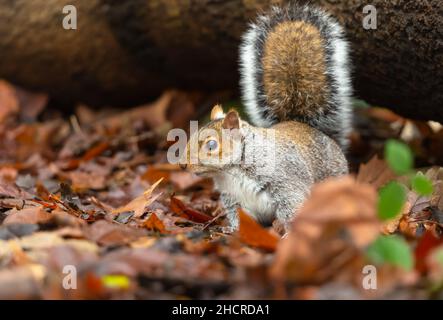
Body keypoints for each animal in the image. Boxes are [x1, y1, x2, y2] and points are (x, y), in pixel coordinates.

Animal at [180, 2, 354, 232]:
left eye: (211, 145)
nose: (182, 165)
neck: (231, 172)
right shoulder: (233, 199)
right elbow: (238, 218)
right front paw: (233, 231)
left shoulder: (286, 184)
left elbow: (292, 210)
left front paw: (289, 234)